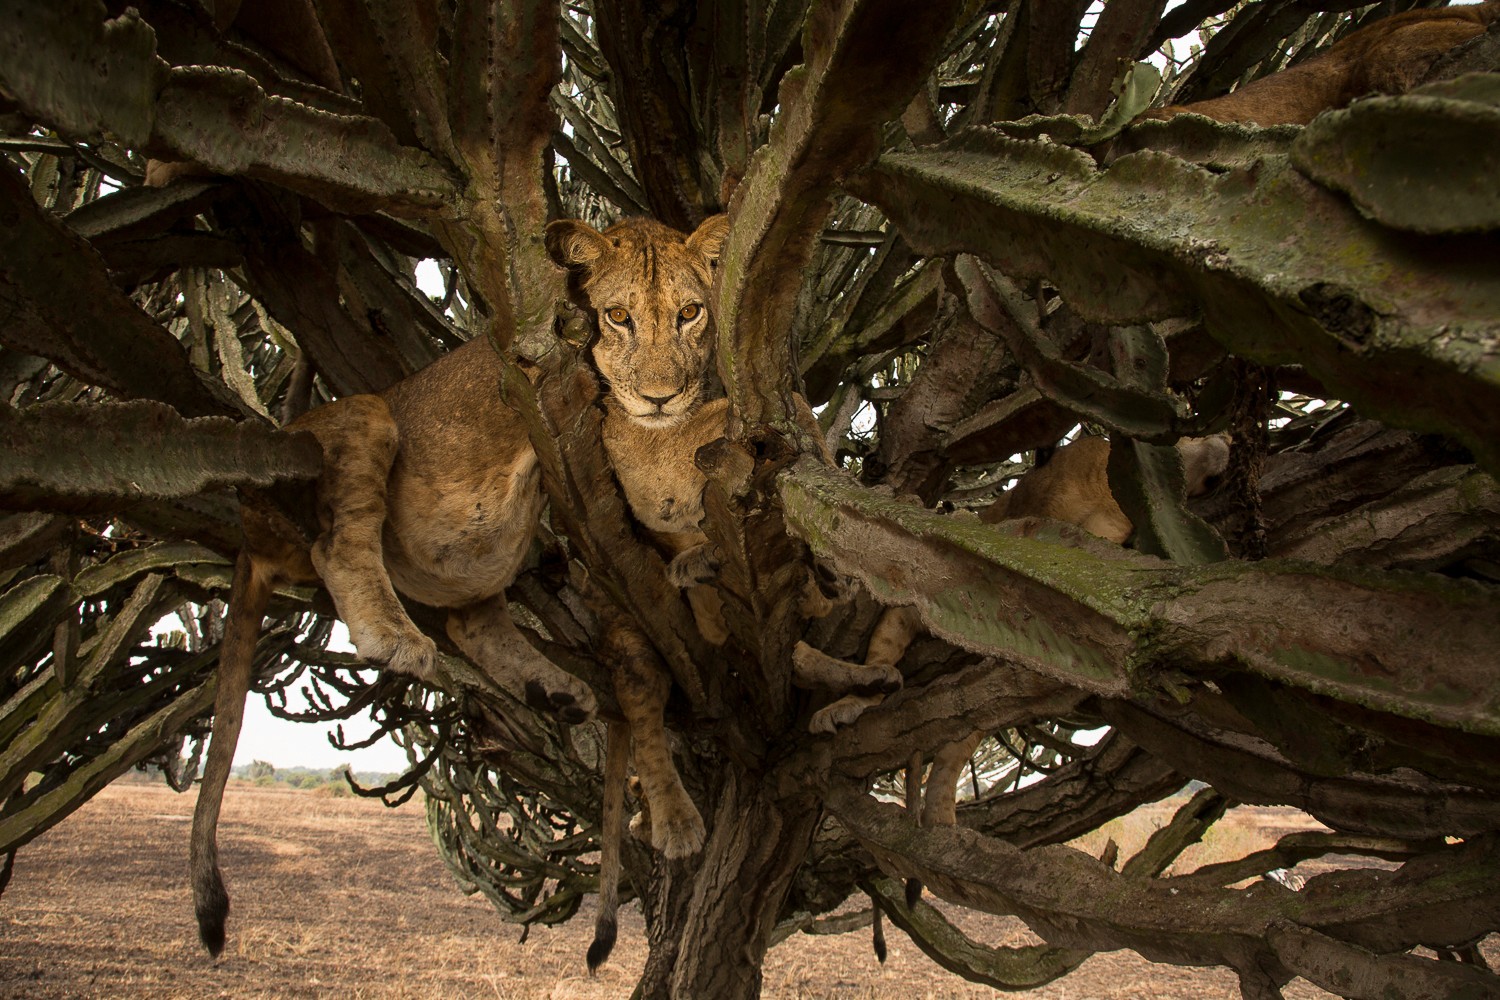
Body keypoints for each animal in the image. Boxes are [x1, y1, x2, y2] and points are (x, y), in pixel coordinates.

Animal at [191, 216, 740, 958]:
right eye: (617, 317)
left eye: (690, 312)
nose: (659, 394)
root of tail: (248, 531)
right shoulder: (607, 485)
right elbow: (645, 681)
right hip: (366, 417)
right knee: (341, 542)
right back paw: (394, 638)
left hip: (492, 554)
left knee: (473, 623)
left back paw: (558, 689)